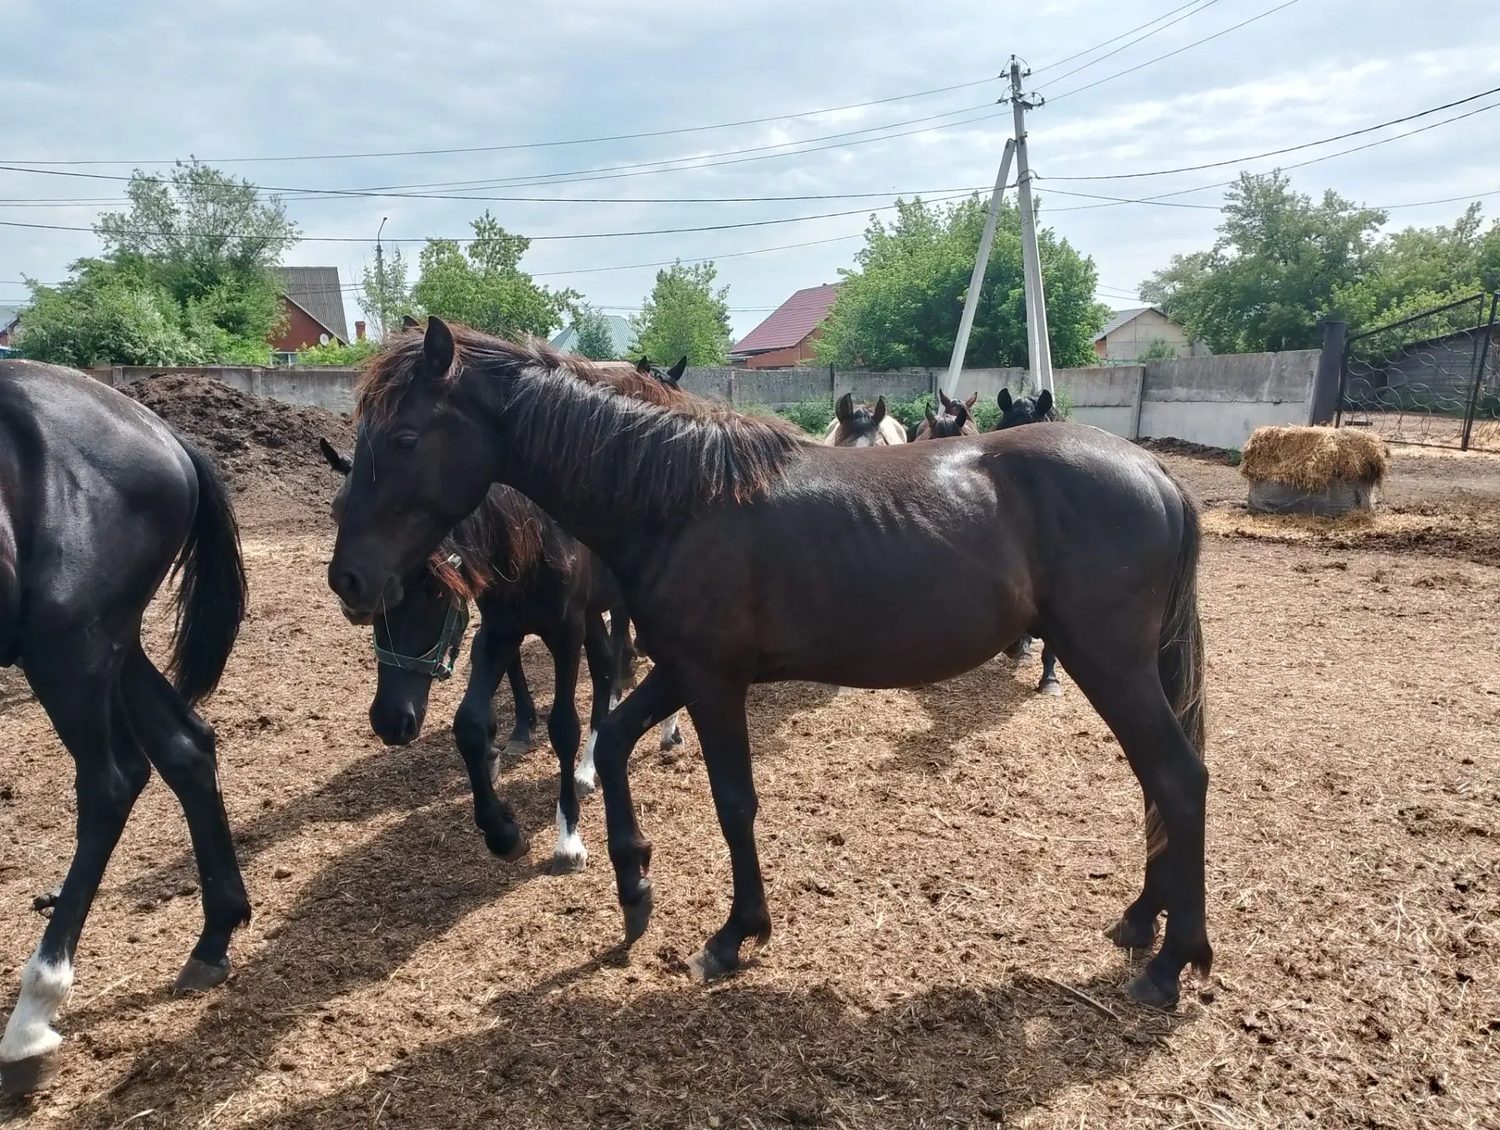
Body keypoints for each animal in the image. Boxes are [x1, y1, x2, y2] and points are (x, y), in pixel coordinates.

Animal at [0, 360, 249, 1094]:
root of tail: (161, 433)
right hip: (110, 638)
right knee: (186, 749)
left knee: (110, 784)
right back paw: (214, 938)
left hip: (66, 639)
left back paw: (32, 1017)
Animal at [320, 440, 679, 873]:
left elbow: (563, 727)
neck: (536, 536)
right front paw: (502, 831)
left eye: (434, 591)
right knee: (606, 667)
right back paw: (589, 766)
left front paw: (568, 840)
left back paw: (667, 734)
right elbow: (470, 724)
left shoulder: (565, 633)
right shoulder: (500, 630)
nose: (391, 721)